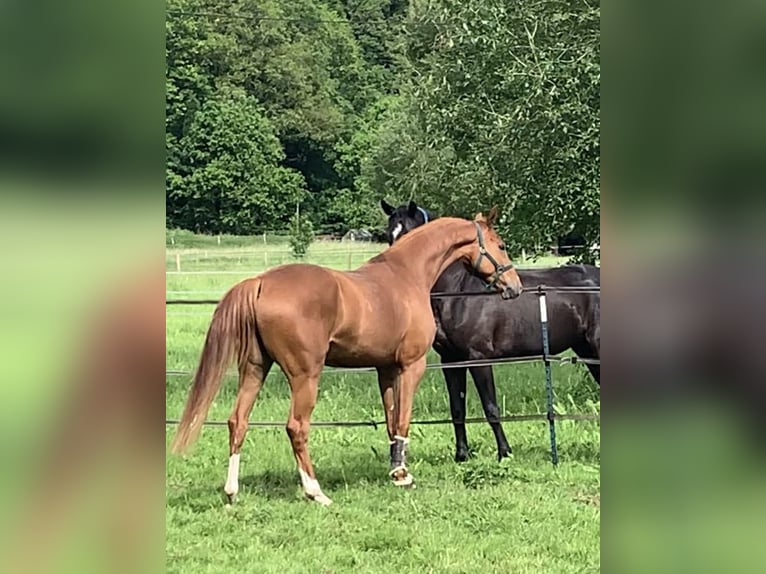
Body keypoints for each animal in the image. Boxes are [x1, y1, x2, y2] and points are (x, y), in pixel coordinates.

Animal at [171, 210, 524, 504]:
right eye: (501, 244)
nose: (515, 286)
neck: (407, 275)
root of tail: (259, 283)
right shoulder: (412, 366)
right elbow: (404, 418)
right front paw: (404, 476)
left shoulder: (385, 368)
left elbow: (391, 419)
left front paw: (397, 471)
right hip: (305, 376)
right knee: (296, 427)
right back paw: (316, 492)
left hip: (255, 369)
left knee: (238, 421)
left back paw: (232, 491)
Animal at [380, 202, 604, 464]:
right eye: (389, 235)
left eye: (410, 233)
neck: (458, 291)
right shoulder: (451, 361)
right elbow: (457, 408)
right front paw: (462, 455)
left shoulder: (478, 359)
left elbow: (491, 407)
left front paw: (505, 453)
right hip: (587, 351)